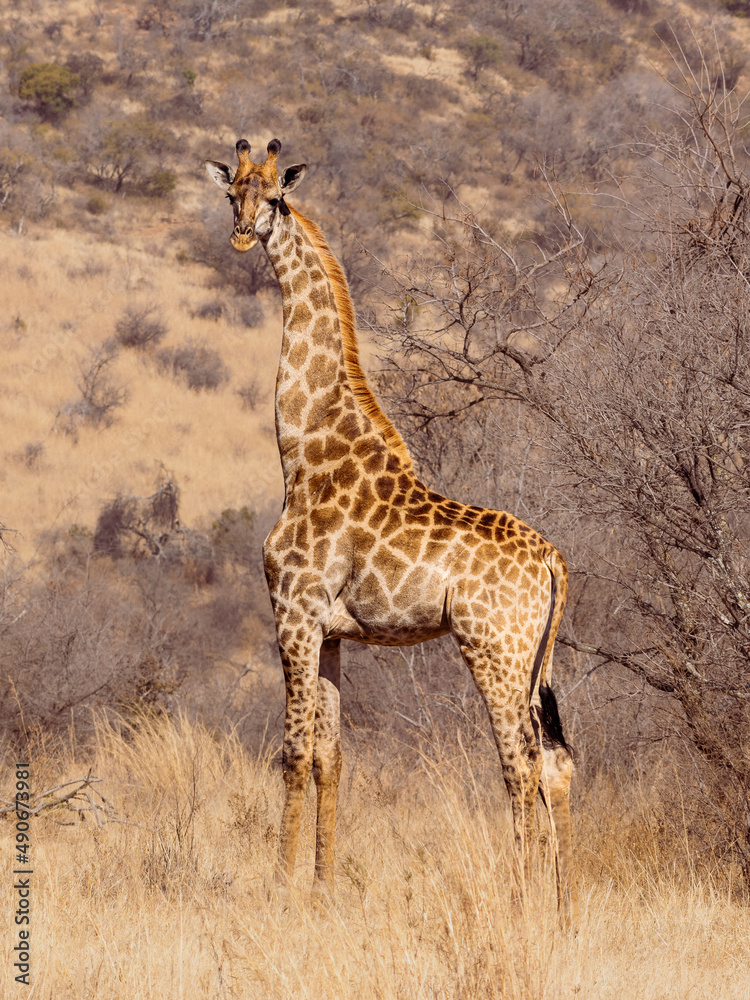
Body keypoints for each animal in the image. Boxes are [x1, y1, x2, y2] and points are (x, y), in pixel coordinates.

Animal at [205, 139, 577, 920]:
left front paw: (279, 887)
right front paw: (322, 885)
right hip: (536, 660)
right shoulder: (332, 632)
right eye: (231, 195)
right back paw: (564, 907)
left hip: (493, 651)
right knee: (556, 762)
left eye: (275, 198)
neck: (302, 449)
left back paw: (521, 901)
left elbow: (292, 753)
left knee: (521, 765)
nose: (244, 234)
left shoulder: (291, 614)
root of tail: (556, 563)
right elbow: (331, 756)